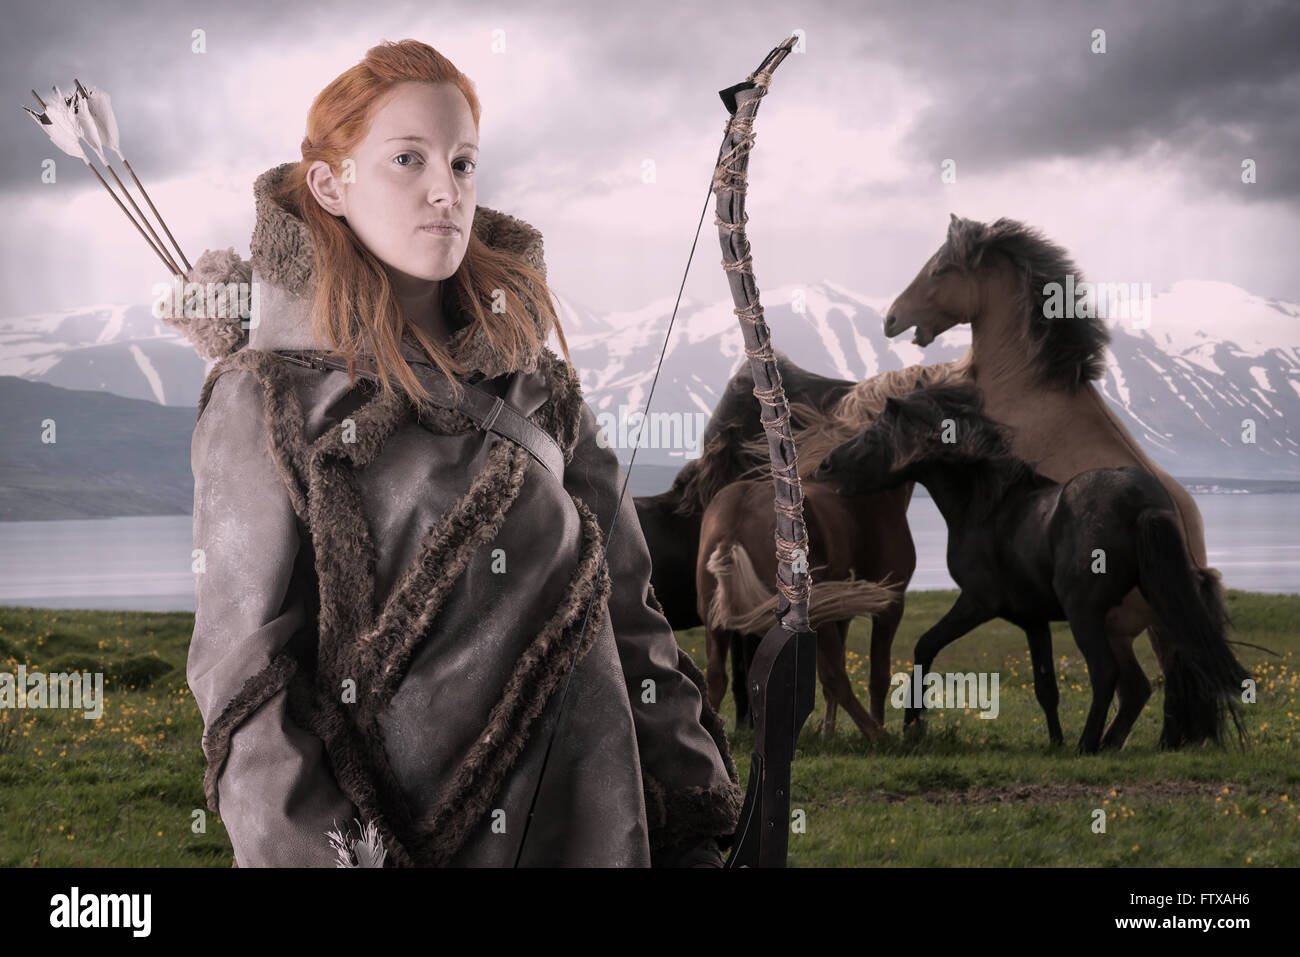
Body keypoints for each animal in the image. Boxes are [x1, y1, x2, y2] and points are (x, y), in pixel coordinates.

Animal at [702, 478, 915, 738]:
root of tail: (735, 523)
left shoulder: (841, 615)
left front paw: (828, 733)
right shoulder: (890, 607)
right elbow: (879, 676)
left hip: (714, 622)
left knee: (715, 677)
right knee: (835, 675)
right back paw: (877, 735)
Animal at [811, 382, 1248, 754]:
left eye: (872, 436)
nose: (824, 467)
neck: (987, 507)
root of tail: (1144, 504)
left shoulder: (977, 603)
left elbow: (925, 646)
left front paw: (912, 727)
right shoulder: (1033, 620)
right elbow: (1045, 686)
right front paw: (1053, 741)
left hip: (1088, 616)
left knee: (1108, 673)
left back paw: (1088, 745)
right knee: (1148, 682)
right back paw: (1118, 742)